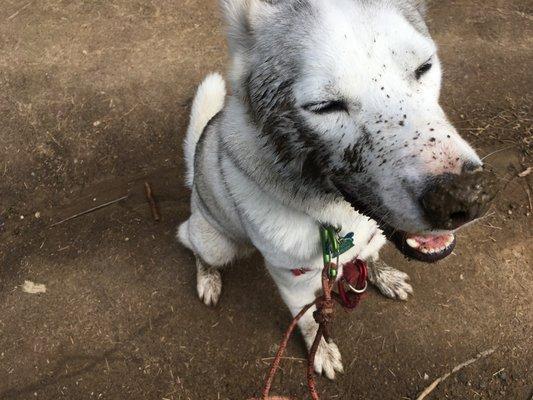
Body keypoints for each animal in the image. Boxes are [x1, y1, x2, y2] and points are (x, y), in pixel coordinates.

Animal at [178, 0, 494, 378]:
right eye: (323, 106)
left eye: (423, 67)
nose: (464, 197)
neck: (339, 219)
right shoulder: (293, 280)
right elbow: (309, 321)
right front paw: (321, 351)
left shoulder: (370, 239)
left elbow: (370, 256)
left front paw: (382, 276)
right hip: (217, 243)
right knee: (192, 244)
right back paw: (208, 278)